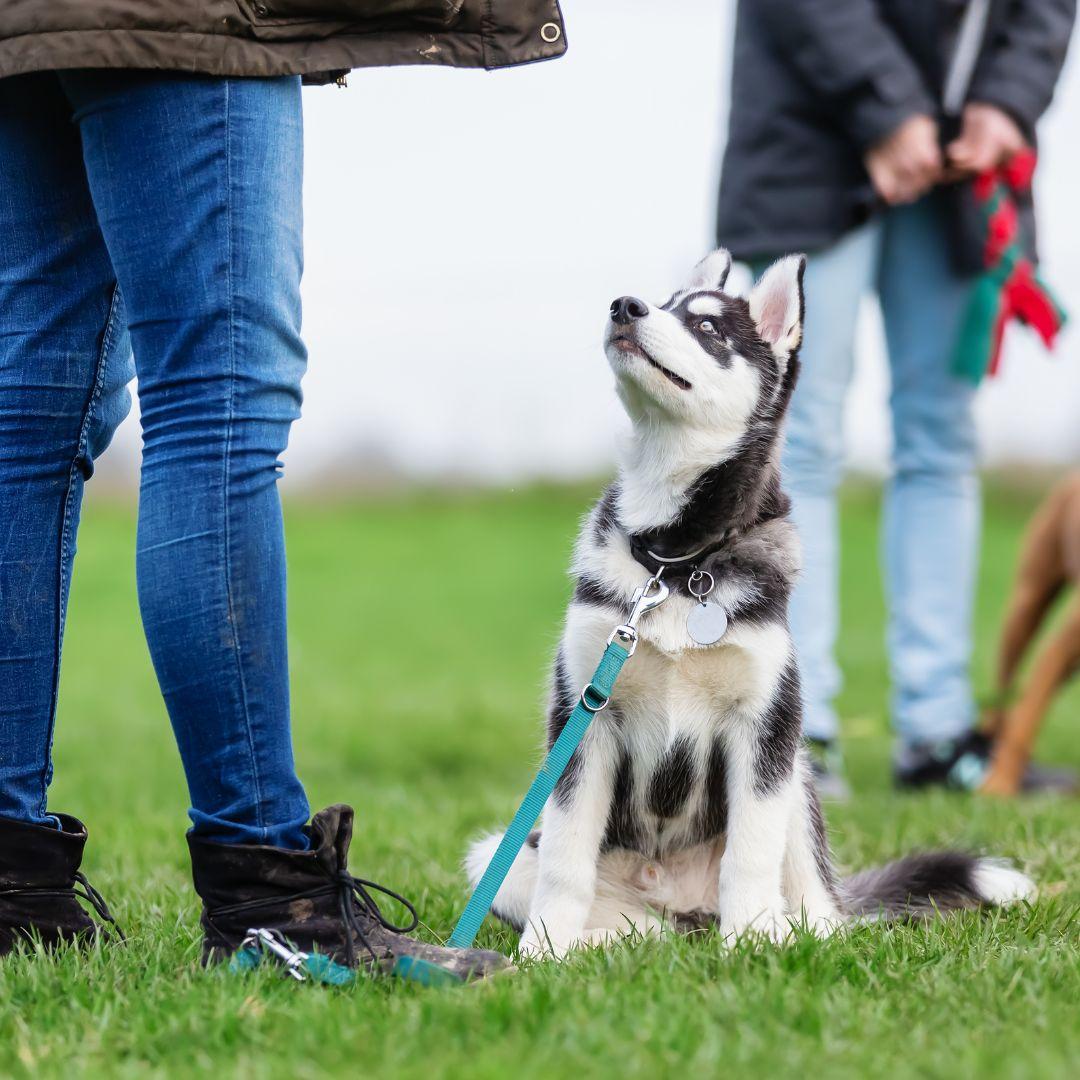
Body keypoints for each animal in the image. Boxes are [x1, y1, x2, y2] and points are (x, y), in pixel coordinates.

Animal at [466, 254, 1036, 963]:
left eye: (708, 326)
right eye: (662, 303)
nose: (624, 306)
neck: (674, 563)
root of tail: (683, 908)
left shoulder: (765, 726)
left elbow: (751, 855)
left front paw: (753, 947)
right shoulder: (582, 719)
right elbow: (566, 860)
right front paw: (543, 954)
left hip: (797, 781)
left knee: (815, 900)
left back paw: (791, 934)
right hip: (495, 855)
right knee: (633, 923)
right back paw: (609, 948)